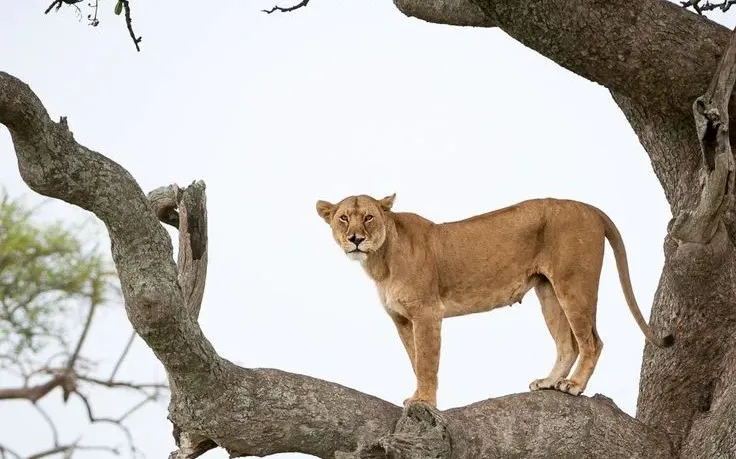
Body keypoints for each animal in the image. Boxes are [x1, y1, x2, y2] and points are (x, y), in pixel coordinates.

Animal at [315, 194, 673, 407]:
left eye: (369, 217)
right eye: (343, 218)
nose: (355, 239)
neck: (380, 261)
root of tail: (589, 207)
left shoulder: (427, 313)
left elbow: (428, 362)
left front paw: (425, 402)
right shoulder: (403, 319)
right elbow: (415, 360)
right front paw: (417, 396)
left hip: (574, 284)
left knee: (592, 341)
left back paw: (573, 385)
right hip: (549, 292)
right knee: (567, 343)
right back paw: (549, 382)